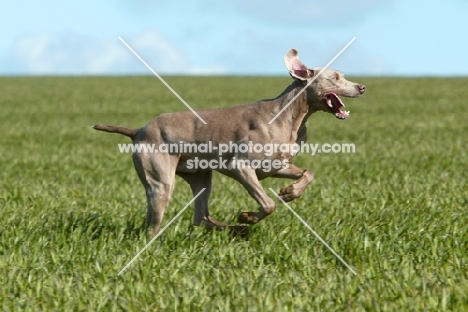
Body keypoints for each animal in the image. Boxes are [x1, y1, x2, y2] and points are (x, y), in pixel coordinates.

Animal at [94, 48, 366, 236]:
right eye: (335, 77)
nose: (362, 87)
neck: (291, 115)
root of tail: (138, 130)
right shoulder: (241, 167)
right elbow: (268, 205)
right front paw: (248, 217)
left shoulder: (276, 166)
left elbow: (308, 173)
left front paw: (290, 193)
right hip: (161, 183)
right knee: (153, 224)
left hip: (201, 177)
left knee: (201, 217)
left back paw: (232, 229)